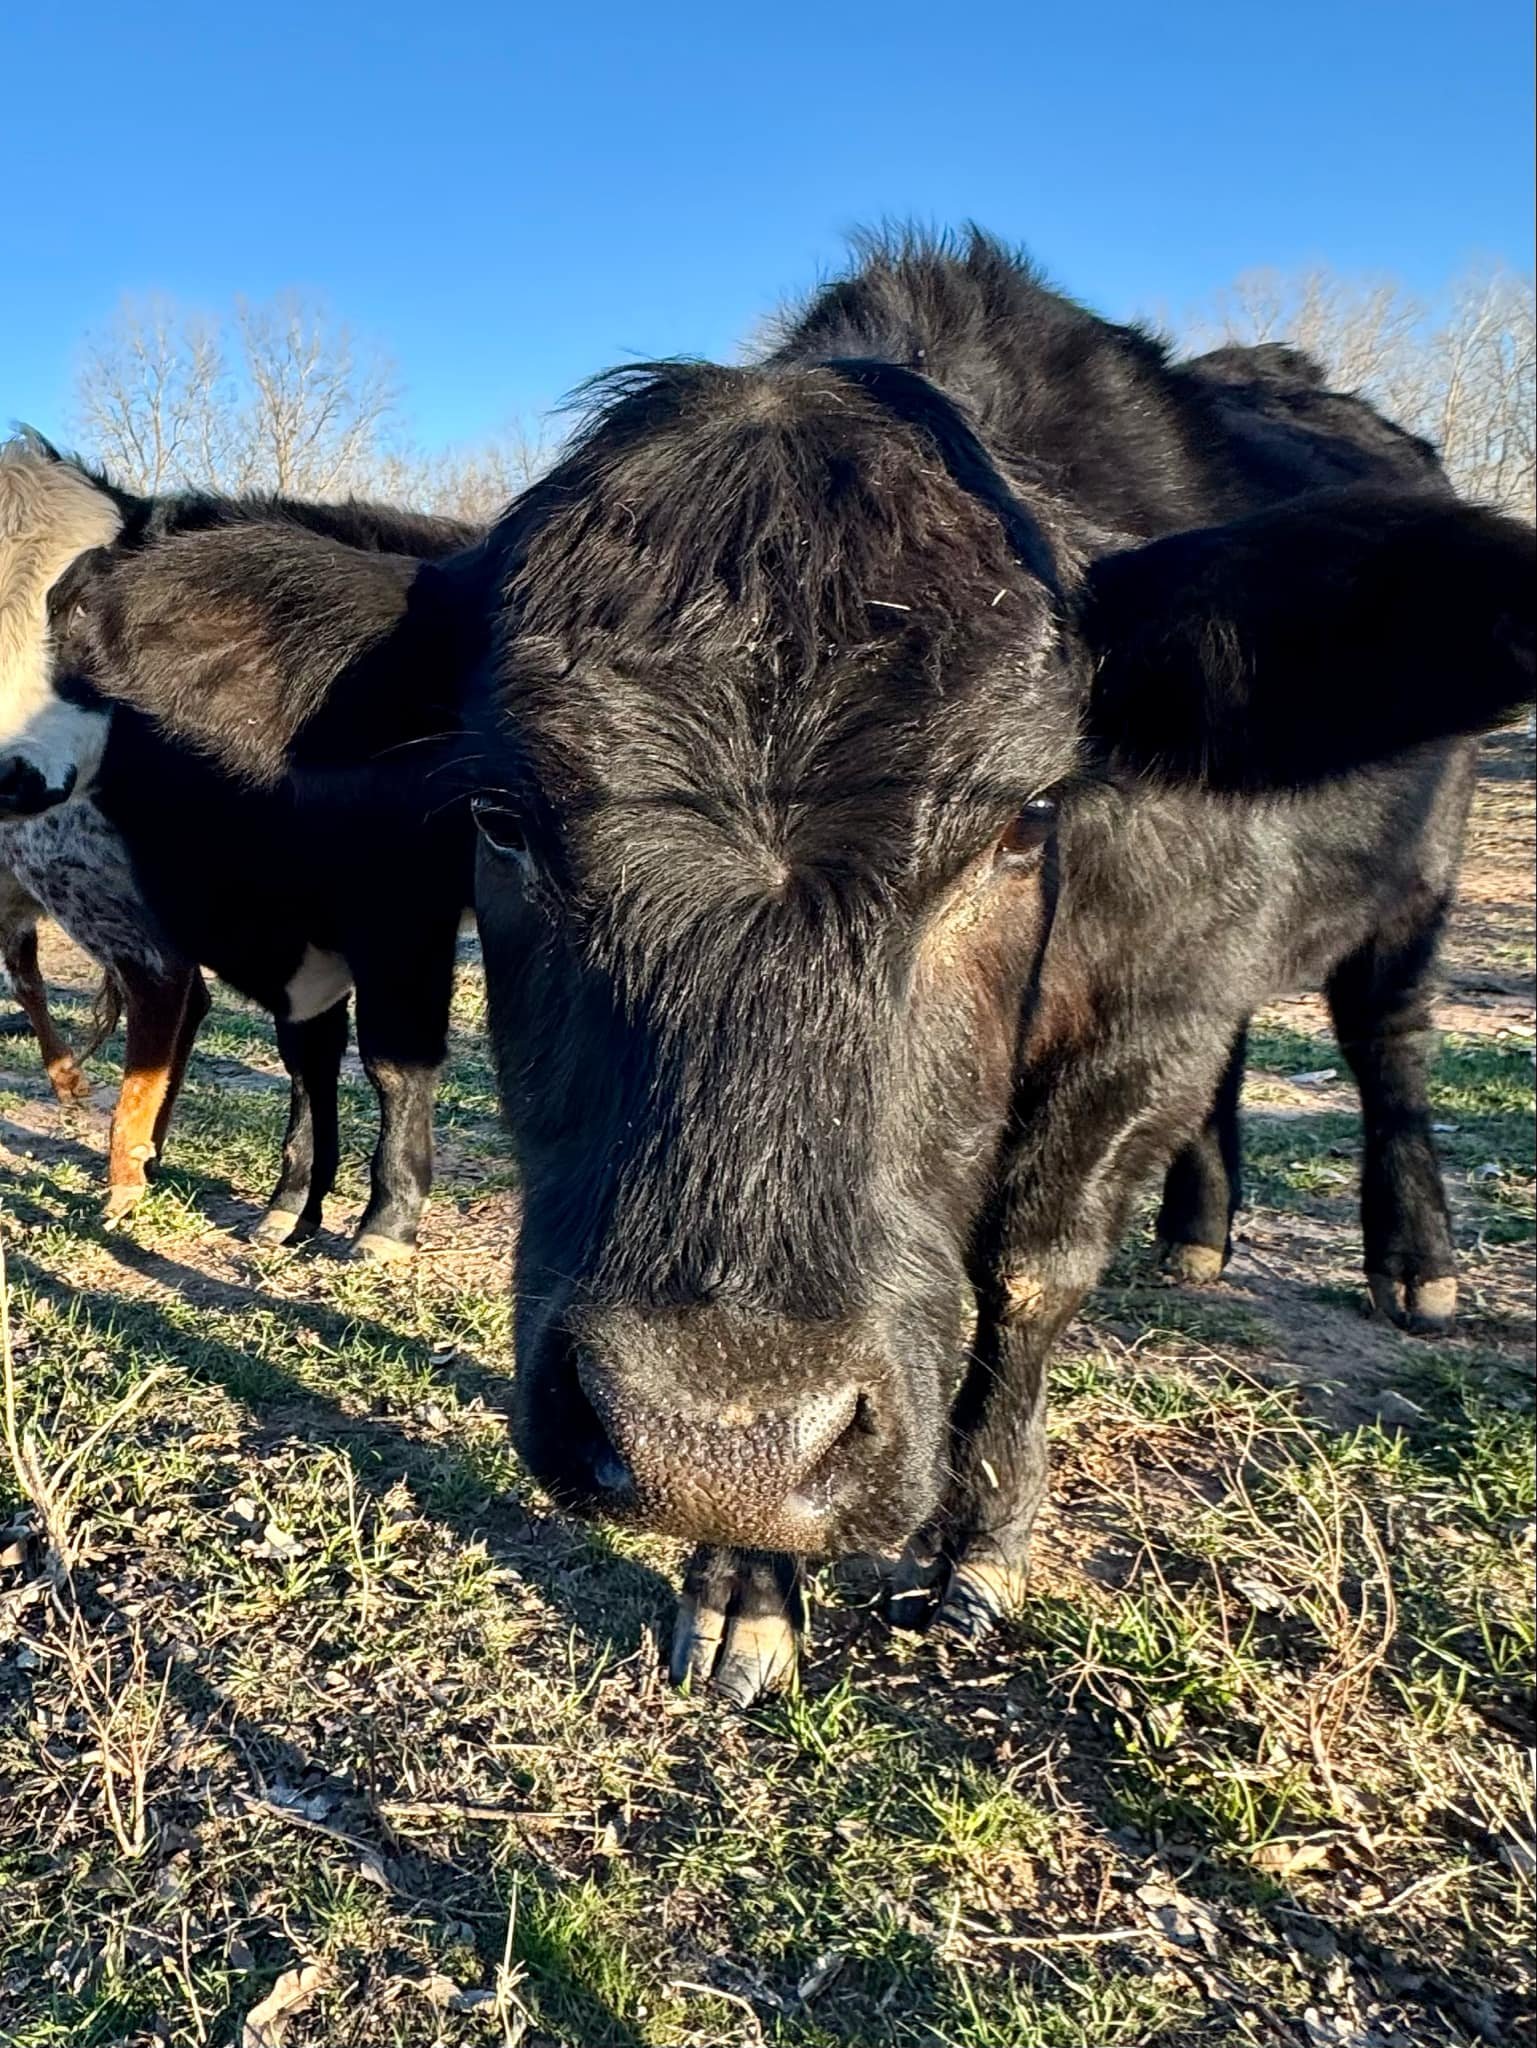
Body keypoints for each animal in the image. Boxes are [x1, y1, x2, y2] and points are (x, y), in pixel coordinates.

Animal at [0, 434, 489, 1257]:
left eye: (73, 609)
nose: (8, 773)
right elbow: (307, 1057)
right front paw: (293, 1203)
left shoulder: (400, 913)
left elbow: (393, 1061)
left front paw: (386, 1220)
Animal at [464, 230, 1534, 1703]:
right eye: (501, 817)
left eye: (1026, 819)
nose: (705, 1434)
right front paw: (745, 1586)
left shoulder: (1150, 1010)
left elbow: (1030, 1270)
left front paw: (974, 1544)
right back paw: (1199, 1235)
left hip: (1411, 892)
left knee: (1388, 1043)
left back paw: (1414, 1263)